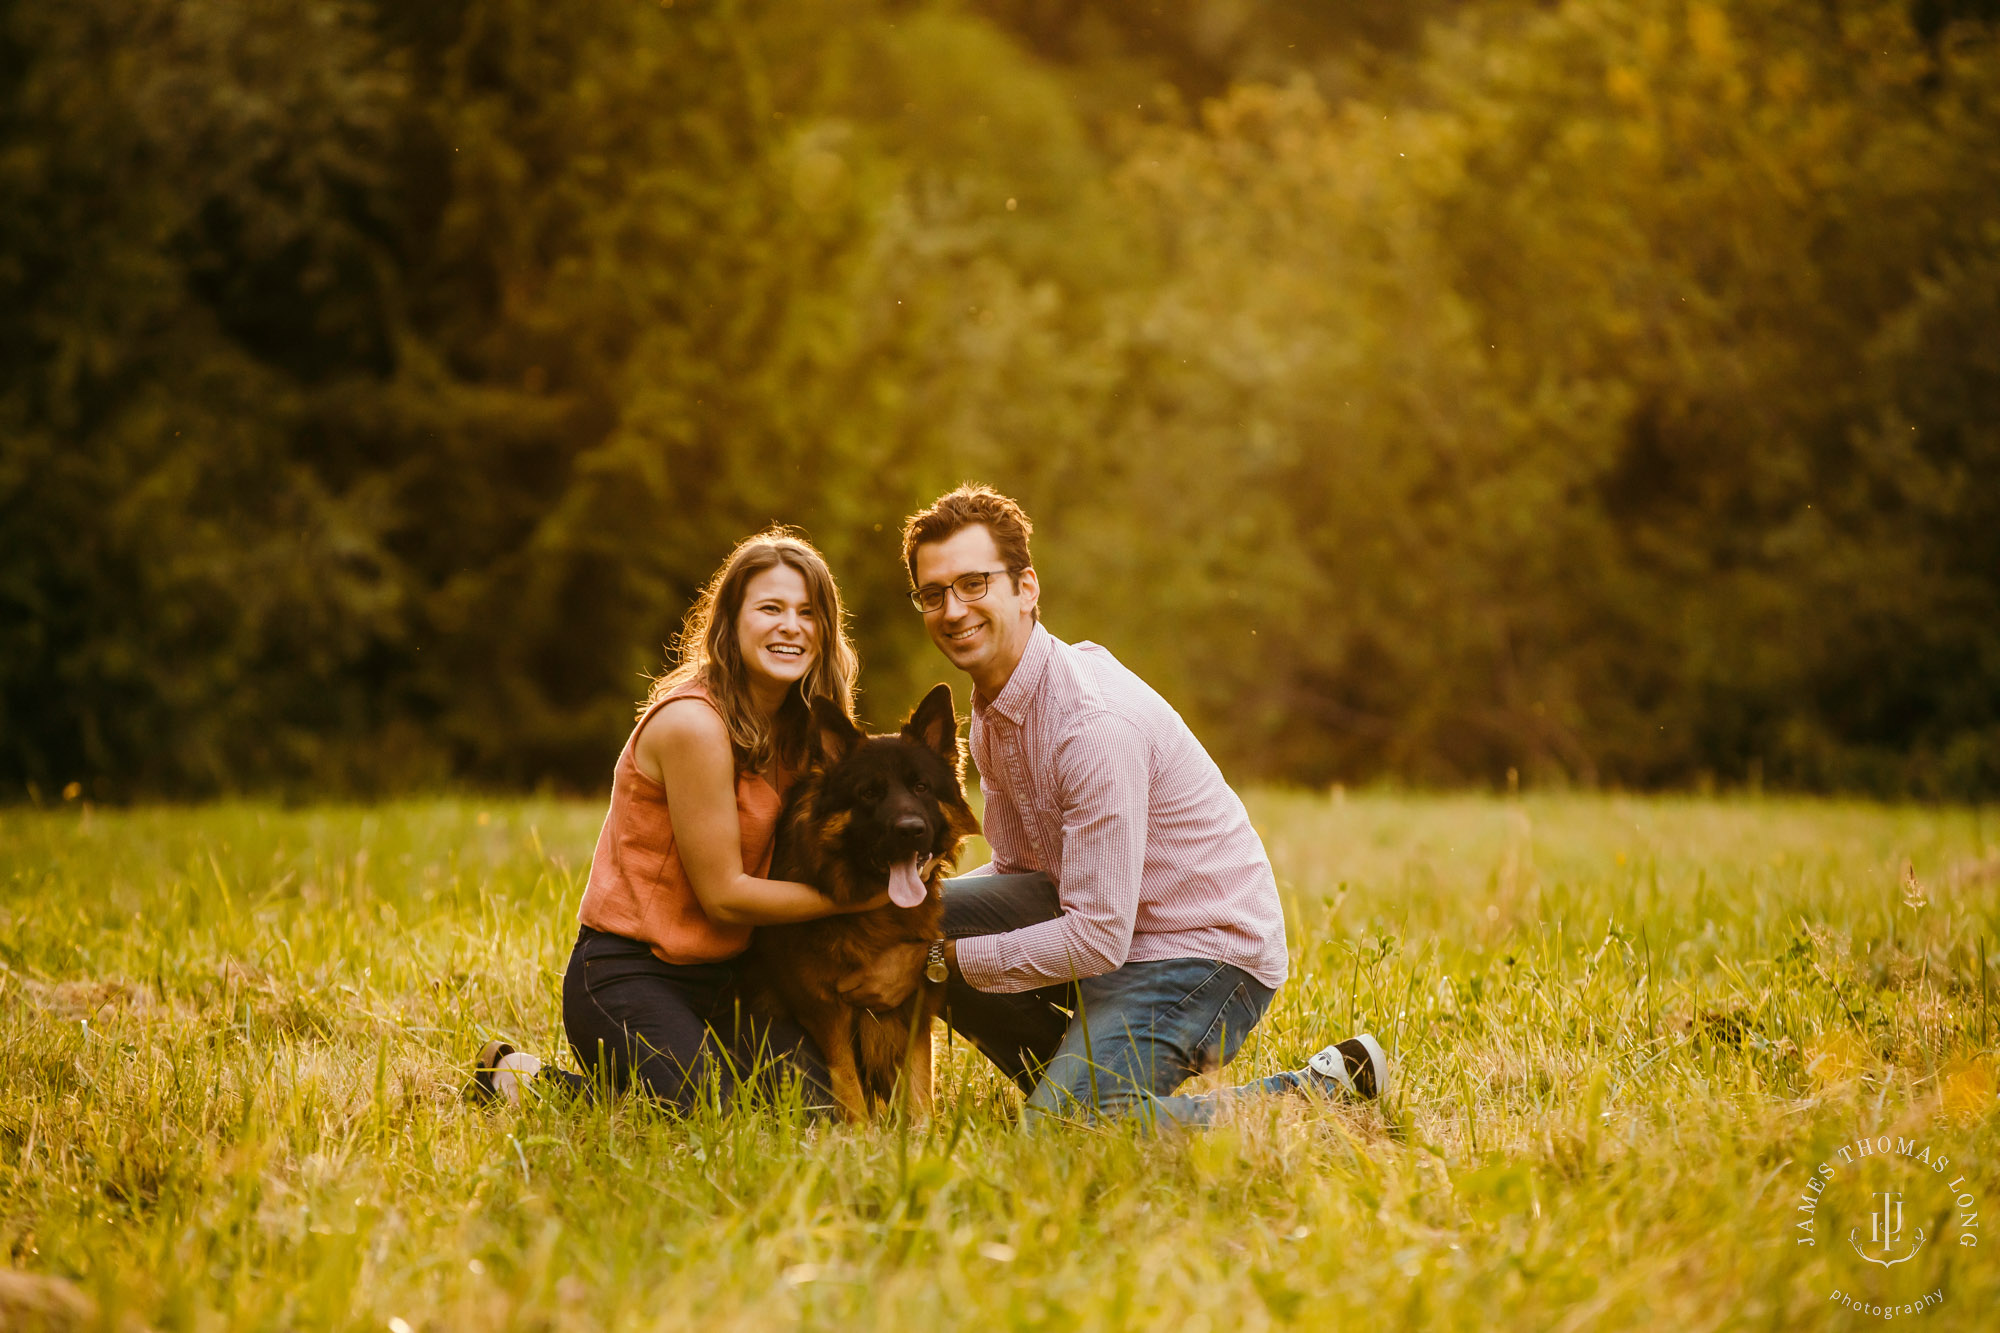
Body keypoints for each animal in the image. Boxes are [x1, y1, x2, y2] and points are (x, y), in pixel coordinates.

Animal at [744, 680, 976, 1112]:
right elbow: (850, 1094)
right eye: (869, 793)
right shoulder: (828, 1016)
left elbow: (920, 1101)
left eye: (921, 787)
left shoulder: (911, 1014)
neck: (878, 917)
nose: (910, 830)